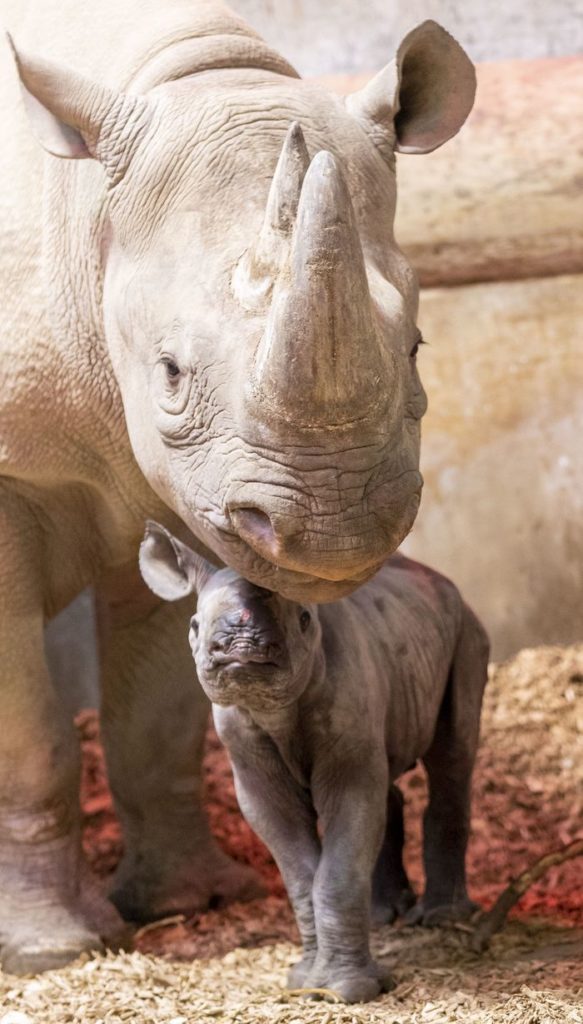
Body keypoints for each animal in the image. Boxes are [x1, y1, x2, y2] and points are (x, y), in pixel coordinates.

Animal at [139, 524, 485, 1003]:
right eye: (193, 625)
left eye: (304, 620)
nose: (239, 647)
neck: (274, 711)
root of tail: (440, 579)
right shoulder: (250, 763)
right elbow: (300, 870)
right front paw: (305, 981)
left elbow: (339, 863)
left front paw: (348, 991)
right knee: (387, 773)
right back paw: (383, 915)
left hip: (464, 630)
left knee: (452, 755)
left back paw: (441, 917)